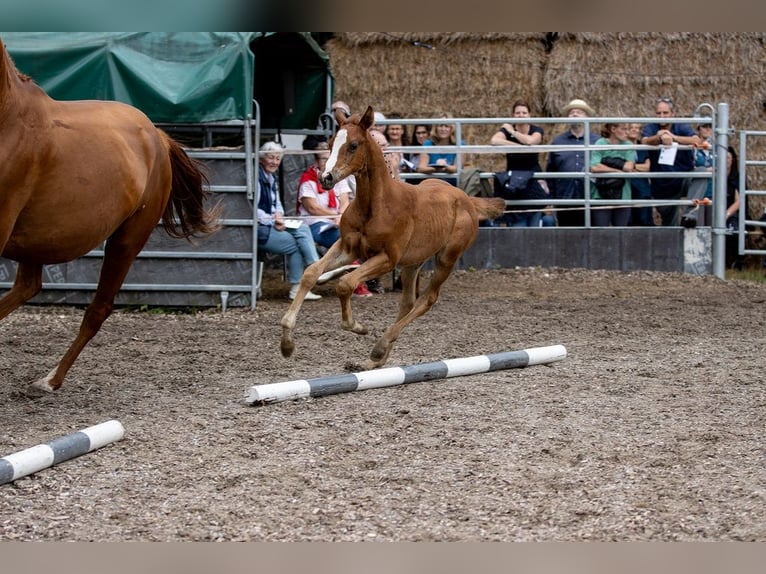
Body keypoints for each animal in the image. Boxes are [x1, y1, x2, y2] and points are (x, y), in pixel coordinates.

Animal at [0, 38, 222, 394]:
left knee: (97, 309)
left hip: (126, 242)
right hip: (37, 242)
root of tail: (158, 135)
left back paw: (51, 380)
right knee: (28, 287)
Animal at [282, 106, 510, 372]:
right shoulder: (348, 248)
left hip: (447, 258)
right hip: (413, 262)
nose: (326, 177)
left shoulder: (387, 258)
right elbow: (311, 272)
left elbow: (346, 283)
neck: (377, 205)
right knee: (408, 302)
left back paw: (379, 348)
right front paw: (286, 343)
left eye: (353, 145)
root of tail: (467, 199)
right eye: (330, 143)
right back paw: (375, 360)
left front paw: (358, 327)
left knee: (427, 299)